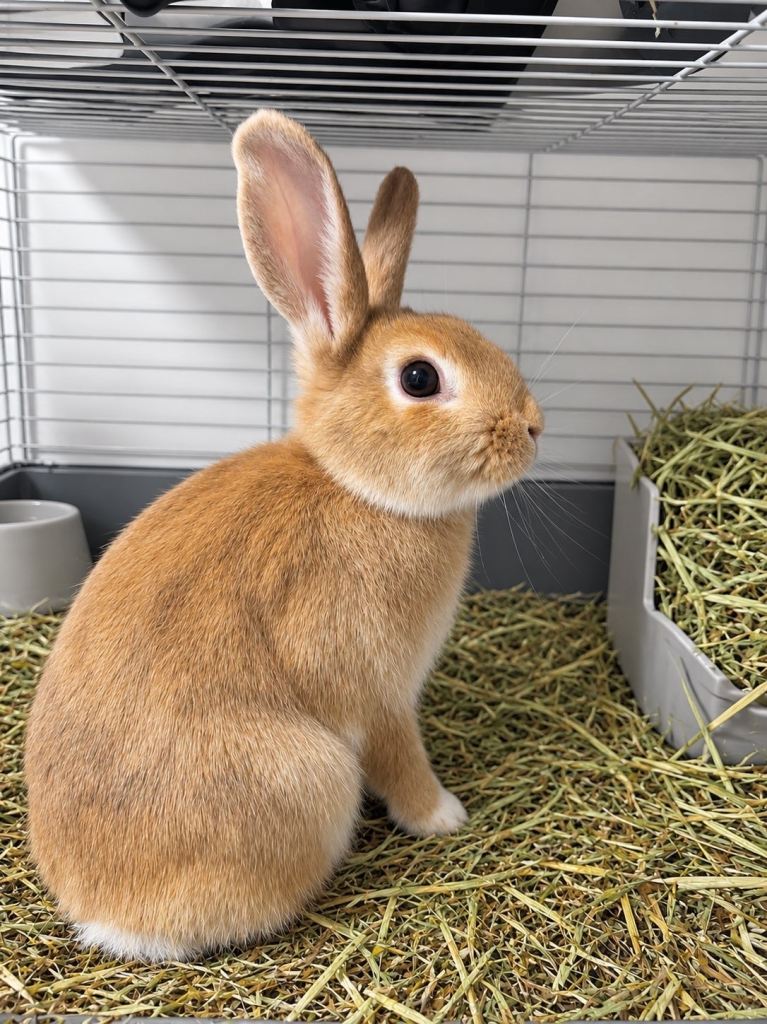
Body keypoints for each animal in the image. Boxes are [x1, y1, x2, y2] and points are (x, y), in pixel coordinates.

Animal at [24, 109, 543, 963]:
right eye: (420, 378)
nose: (533, 428)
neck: (357, 488)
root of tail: (106, 918)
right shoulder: (375, 694)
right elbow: (401, 759)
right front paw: (443, 815)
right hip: (311, 774)